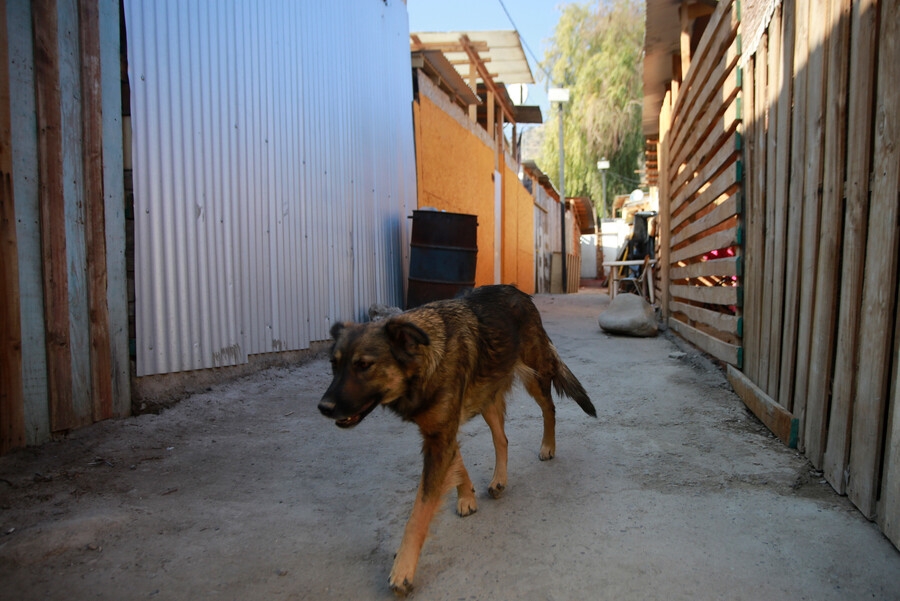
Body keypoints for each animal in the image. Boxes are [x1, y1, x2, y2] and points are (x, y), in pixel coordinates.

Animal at [318, 284, 596, 592]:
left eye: (364, 365)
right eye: (334, 364)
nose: (323, 408)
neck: (427, 356)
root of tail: (517, 291)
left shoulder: (441, 435)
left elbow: (420, 511)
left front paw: (403, 568)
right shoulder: (440, 430)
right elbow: (457, 461)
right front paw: (466, 496)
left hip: (534, 374)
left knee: (550, 408)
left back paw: (548, 446)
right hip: (487, 395)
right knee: (502, 439)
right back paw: (499, 480)